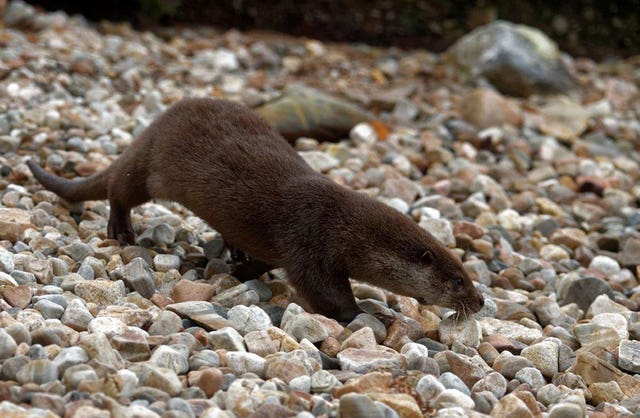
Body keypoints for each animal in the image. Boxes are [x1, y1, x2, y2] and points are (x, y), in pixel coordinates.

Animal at [27, 99, 482, 324]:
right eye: (458, 280)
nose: (479, 302)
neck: (344, 226)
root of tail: (151, 126)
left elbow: (267, 264)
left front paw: (242, 269)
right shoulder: (309, 239)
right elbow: (324, 291)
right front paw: (372, 314)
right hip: (149, 169)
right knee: (120, 189)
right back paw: (121, 230)